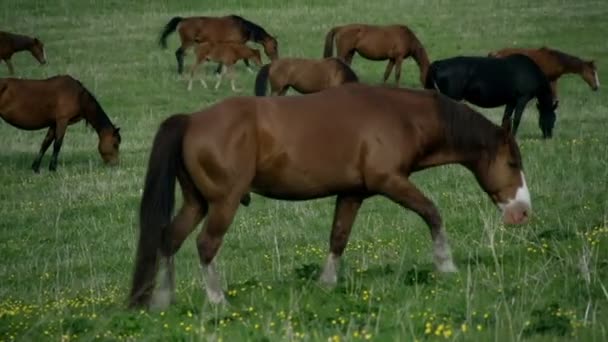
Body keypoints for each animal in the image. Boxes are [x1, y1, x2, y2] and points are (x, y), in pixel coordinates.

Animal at [129, 83, 532, 310]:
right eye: (513, 162)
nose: (523, 212)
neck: (398, 114)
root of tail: (192, 120)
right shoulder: (390, 181)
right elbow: (433, 213)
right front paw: (446, 265)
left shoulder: (352, 194)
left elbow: (338, 237)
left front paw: (326, 283)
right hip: (222, 204)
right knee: (205, 245)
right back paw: (216, 300)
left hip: (197, 203)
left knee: (170, 239)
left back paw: (162, 299)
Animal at [426, 54, 560, 138]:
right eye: (553, 118)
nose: (548, 136)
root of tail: (438, 64)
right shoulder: (522, 99)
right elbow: (516, 119)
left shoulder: (511, 101)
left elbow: (506, 118)